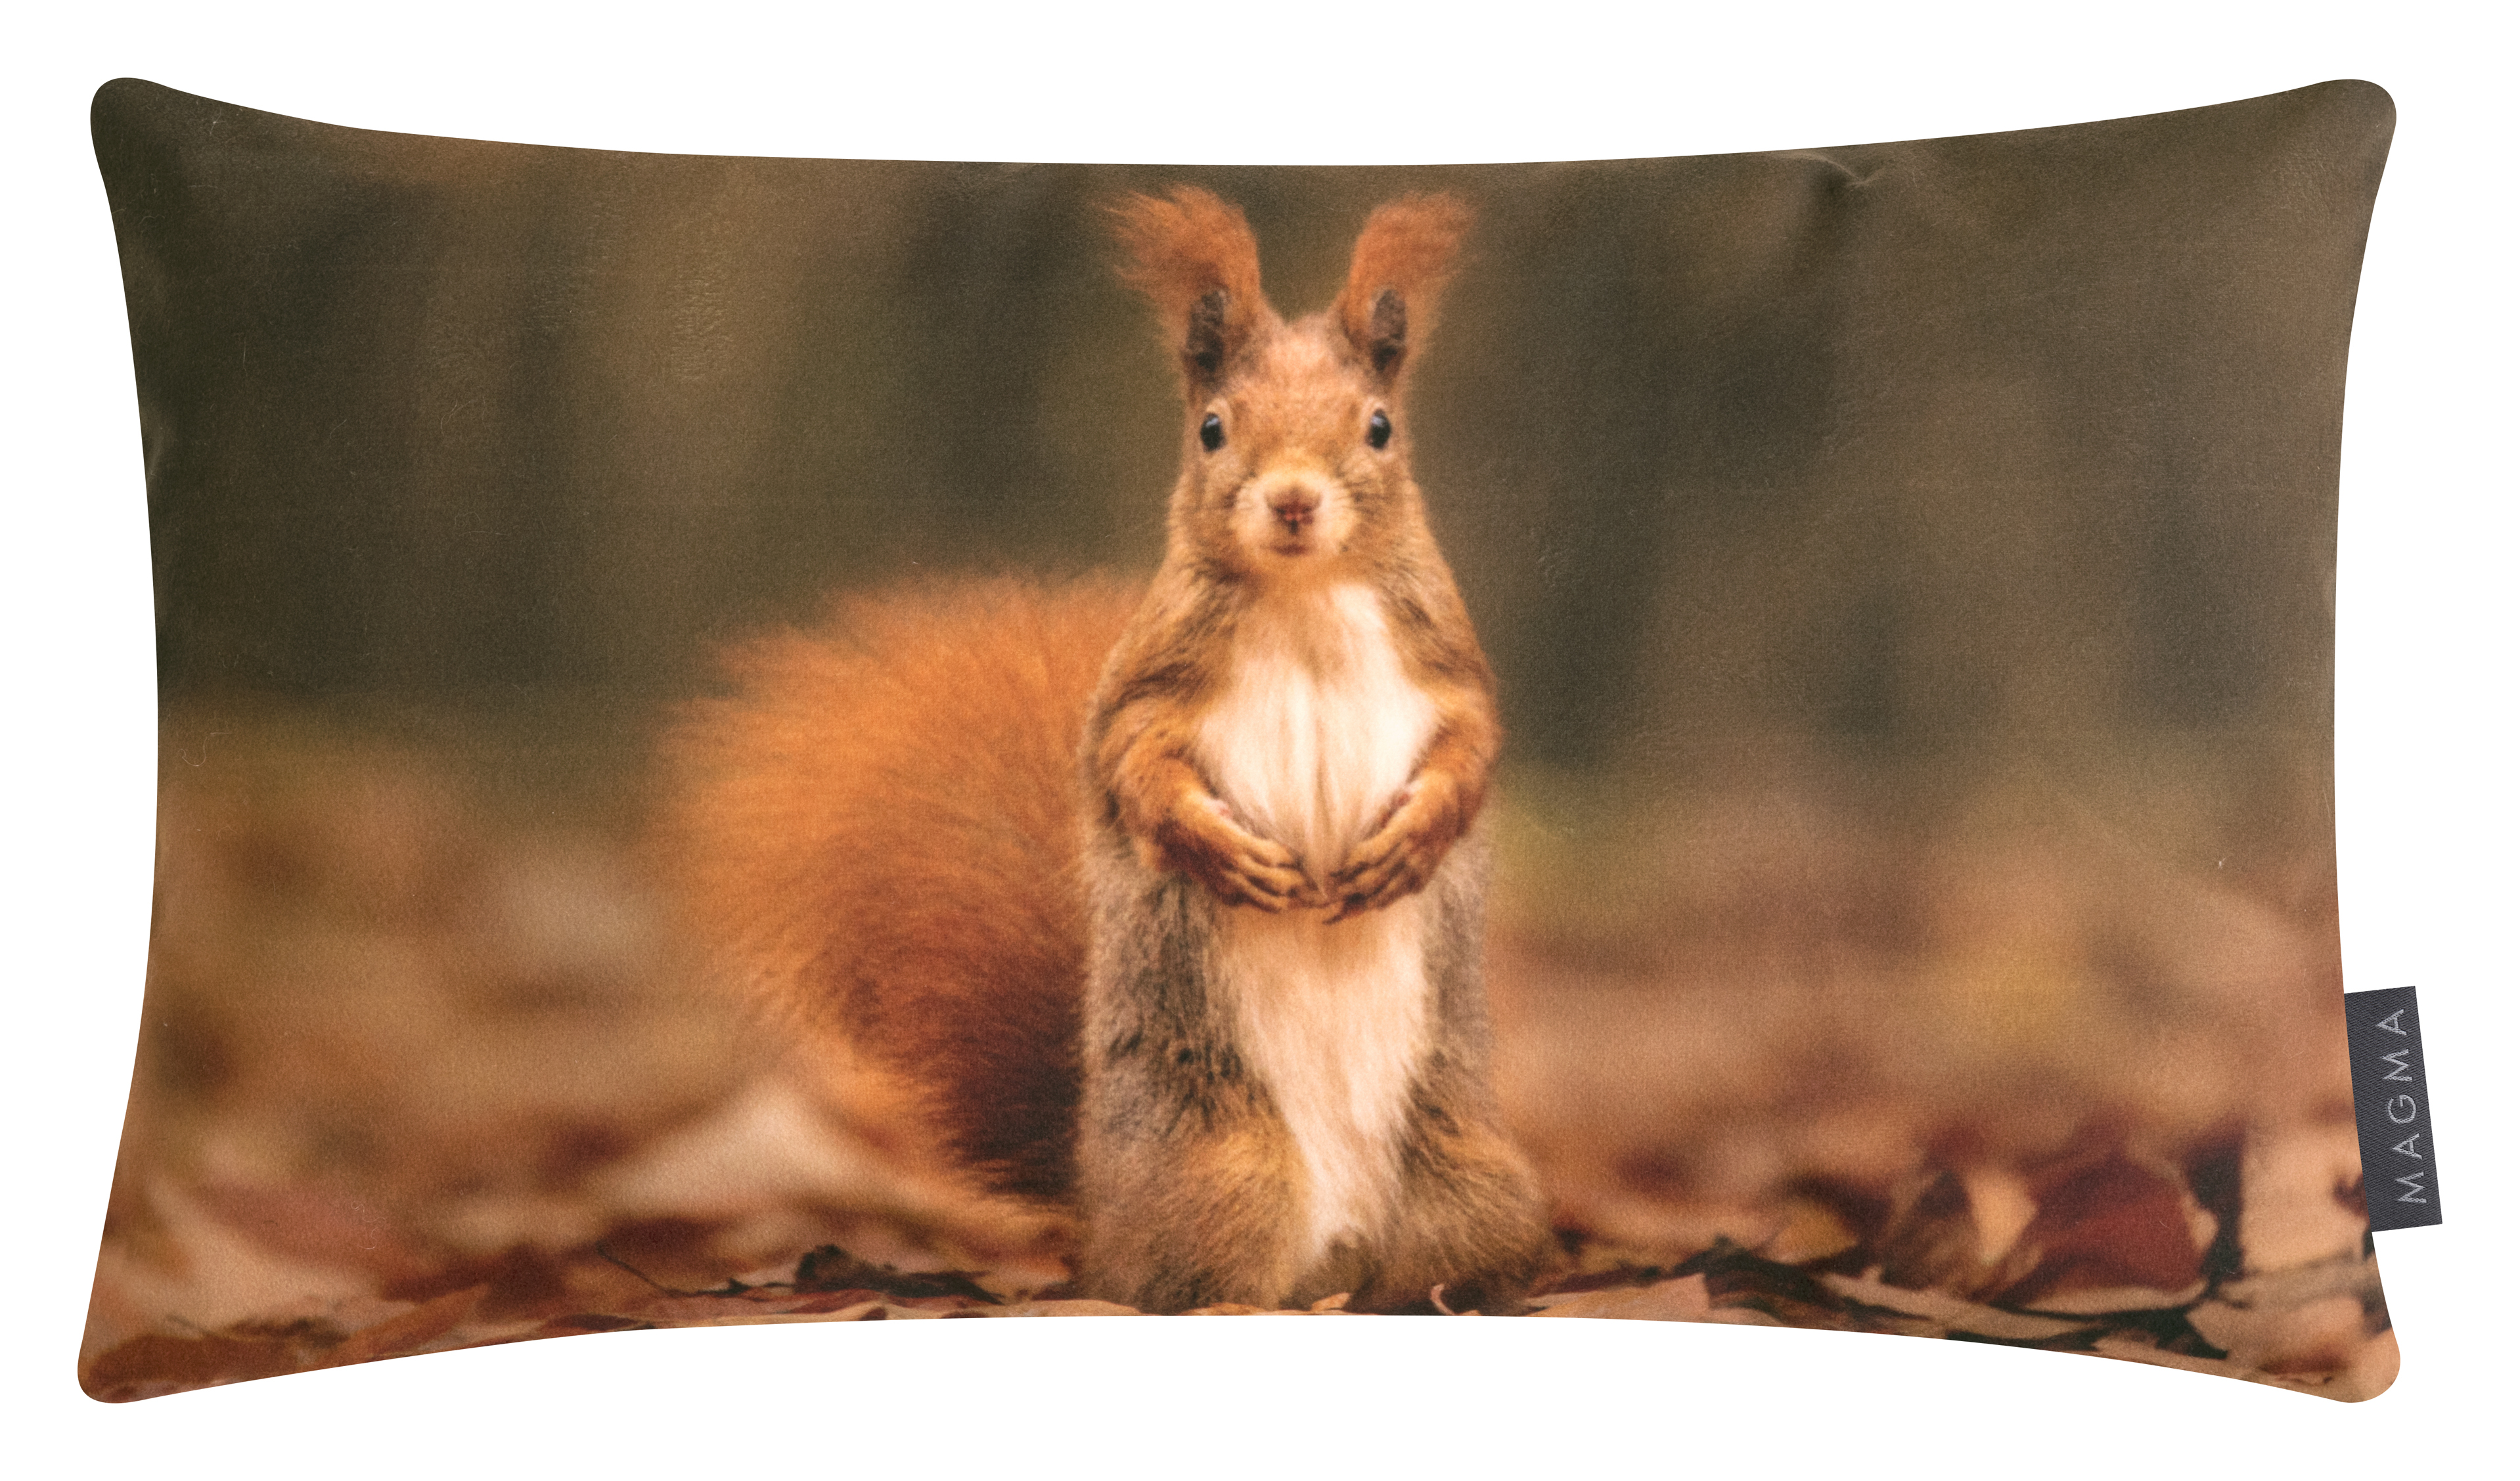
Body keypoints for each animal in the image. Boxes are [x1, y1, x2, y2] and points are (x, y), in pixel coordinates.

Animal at [657, 187, 1548, 1315]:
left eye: (1380, 428)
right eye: (1212, 429)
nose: (1294, 499)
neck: (1306, 595)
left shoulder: (1447, 668)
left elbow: (1472, 749)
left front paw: (1415, 840)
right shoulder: (1149, 686)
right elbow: (1135, 770)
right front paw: (1219, 849)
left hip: (1465, 1180)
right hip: (1223, 1164)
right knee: (1199, 1276)